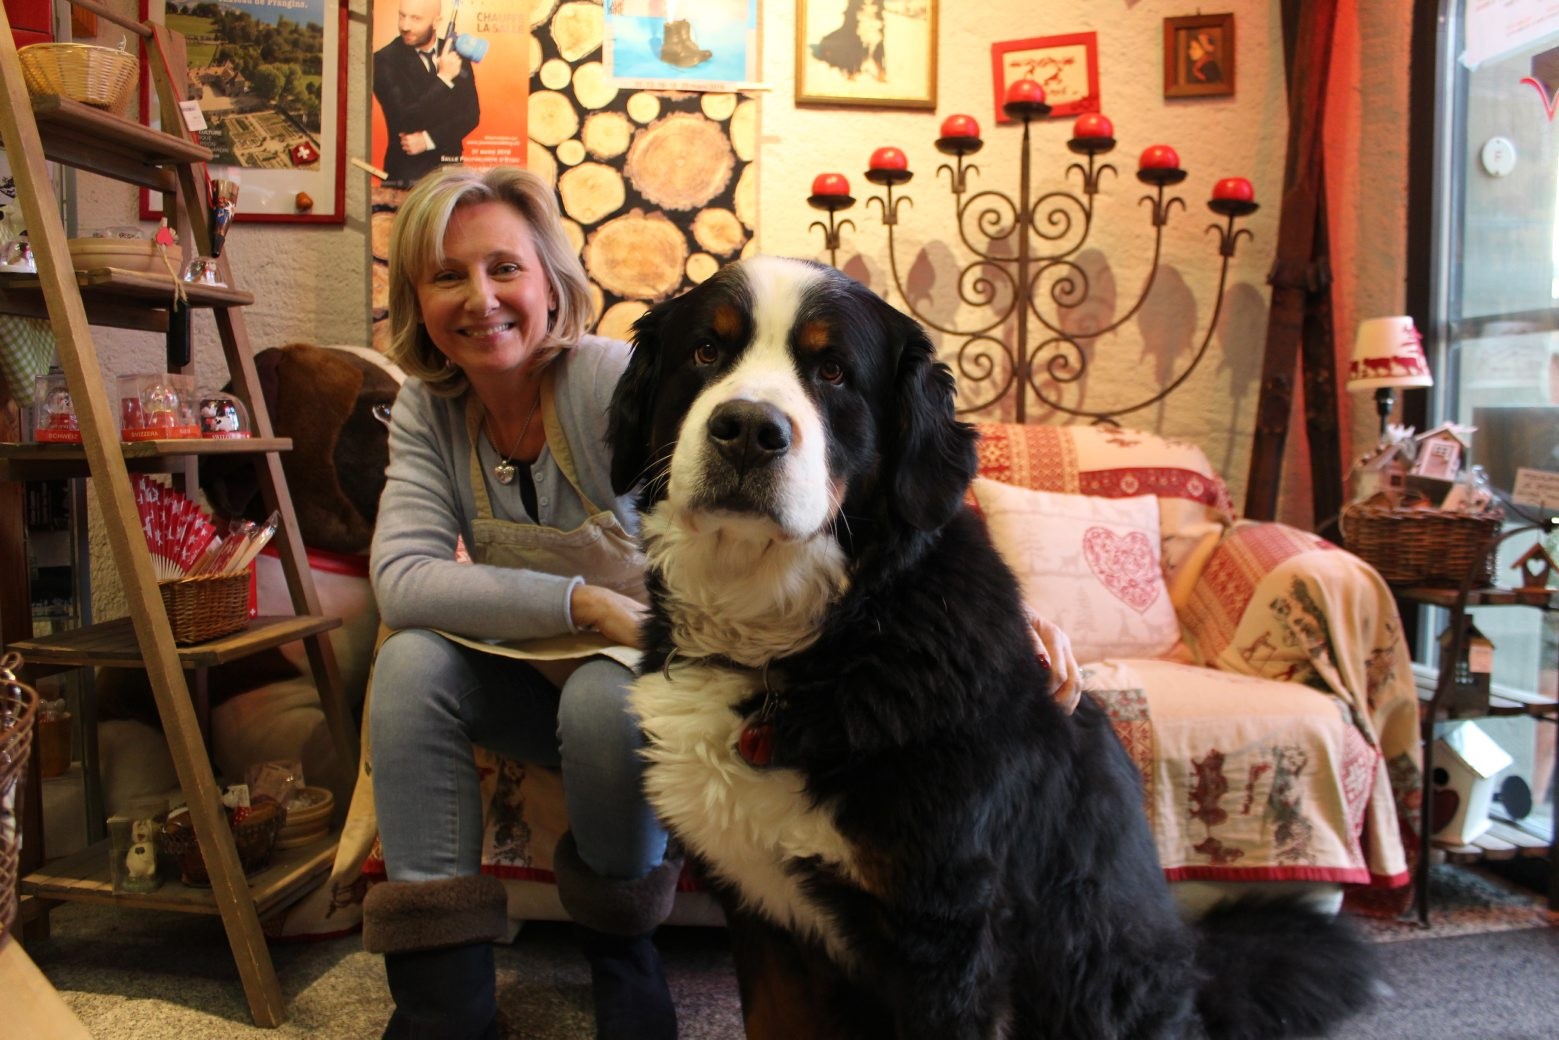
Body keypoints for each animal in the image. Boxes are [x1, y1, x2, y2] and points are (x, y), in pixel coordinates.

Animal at [608, 254, 1378, 1040]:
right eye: (706, 352)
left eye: (832, 371)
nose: (747, 429)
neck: (805, 644)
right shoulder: (763, 913)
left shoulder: (944, 929)